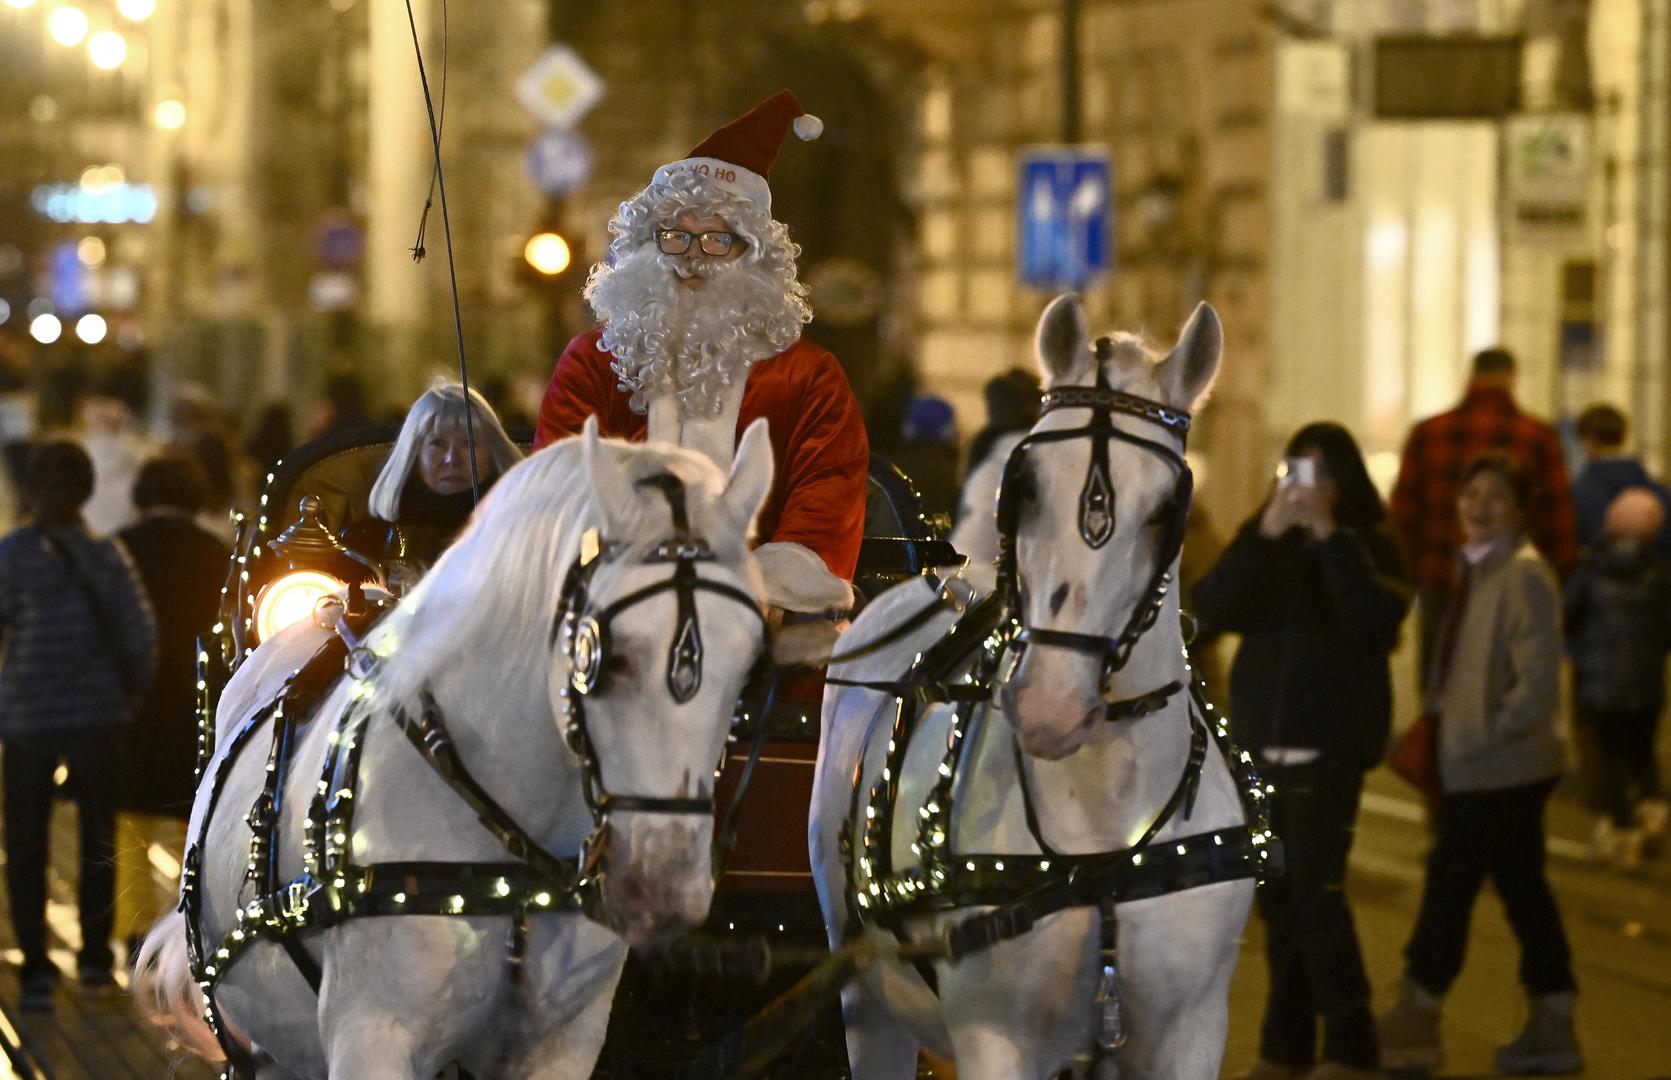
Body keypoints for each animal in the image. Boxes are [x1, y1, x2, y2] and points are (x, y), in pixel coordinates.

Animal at [815, 297, 1256, 1080]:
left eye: (1165, 510)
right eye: (1025, 485)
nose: (1051, 708)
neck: (1102, 847)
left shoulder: (1193, 1033)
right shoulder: (995, 1039)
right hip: (866, 995)